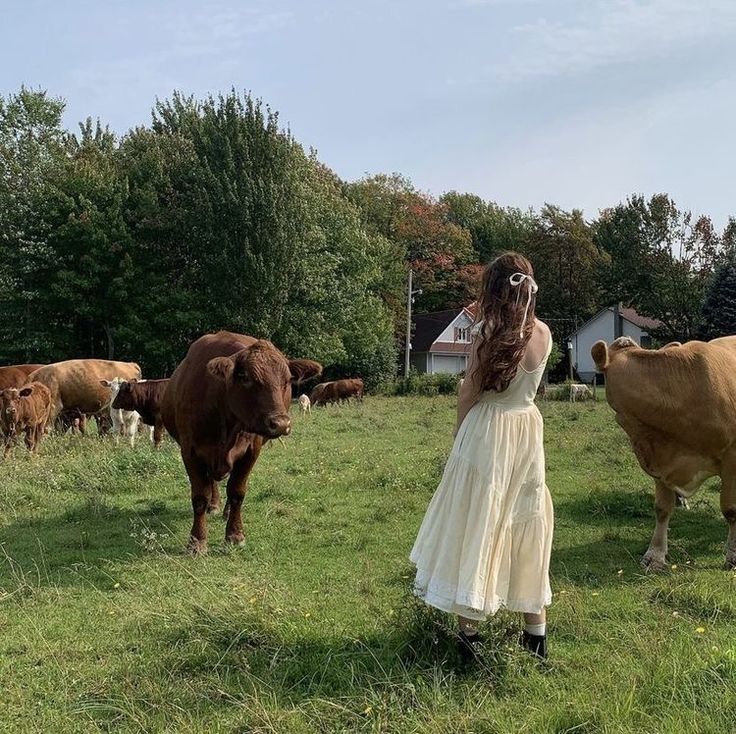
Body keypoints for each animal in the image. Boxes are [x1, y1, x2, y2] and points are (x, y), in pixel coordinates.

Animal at [161, 330, 322, 556]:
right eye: (246, 377)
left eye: (288, 379)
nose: (281, 424)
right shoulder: (190, 451)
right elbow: (200, 496)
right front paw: (197, 541)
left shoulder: (250, 451)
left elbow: (237, 491)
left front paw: (235, 535)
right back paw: (214, 506)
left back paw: (226, 511)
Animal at [592, 336, 736, 572]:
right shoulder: (660, 462)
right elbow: (662, 509)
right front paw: (655, 555)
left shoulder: (731, 457)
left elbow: (730, 509)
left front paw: (732, 555)